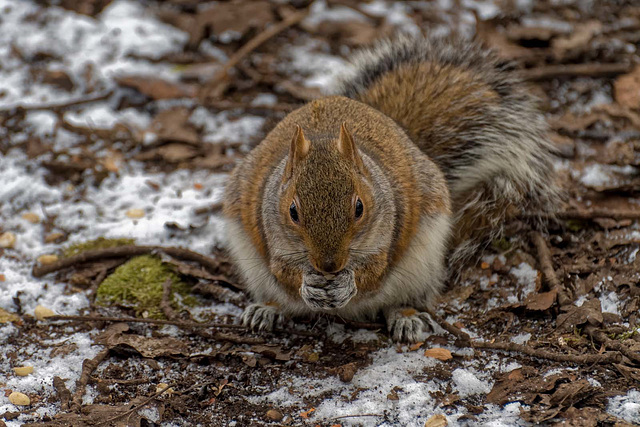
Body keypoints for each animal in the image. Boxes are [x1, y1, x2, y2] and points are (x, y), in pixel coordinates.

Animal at [224, 34, 560, 344]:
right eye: (292, 211)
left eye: (359, 208)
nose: (329, 265)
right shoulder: (273, 240)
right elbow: (284, 273)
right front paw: (308, 284)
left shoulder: (389, 236)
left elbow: (374, 273)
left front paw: (348, 284)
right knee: (276, 294)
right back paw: (266, 309)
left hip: (420, 265)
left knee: (401, 299)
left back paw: (405, 317)